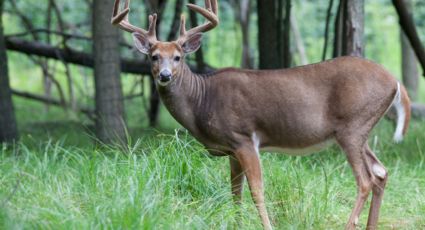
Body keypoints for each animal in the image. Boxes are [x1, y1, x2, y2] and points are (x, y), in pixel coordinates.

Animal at [111, 0, 410, 229]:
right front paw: (236, 223)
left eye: (178, 57)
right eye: (153, 56)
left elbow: (257, 191)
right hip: (361, 131)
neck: (203, 101)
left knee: (365, 180)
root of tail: (396, 82)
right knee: (381, 172)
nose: (164, 76)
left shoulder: (243, 137)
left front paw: (266, 225)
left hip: (352, 126)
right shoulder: (231, 149)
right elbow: (235, 192)